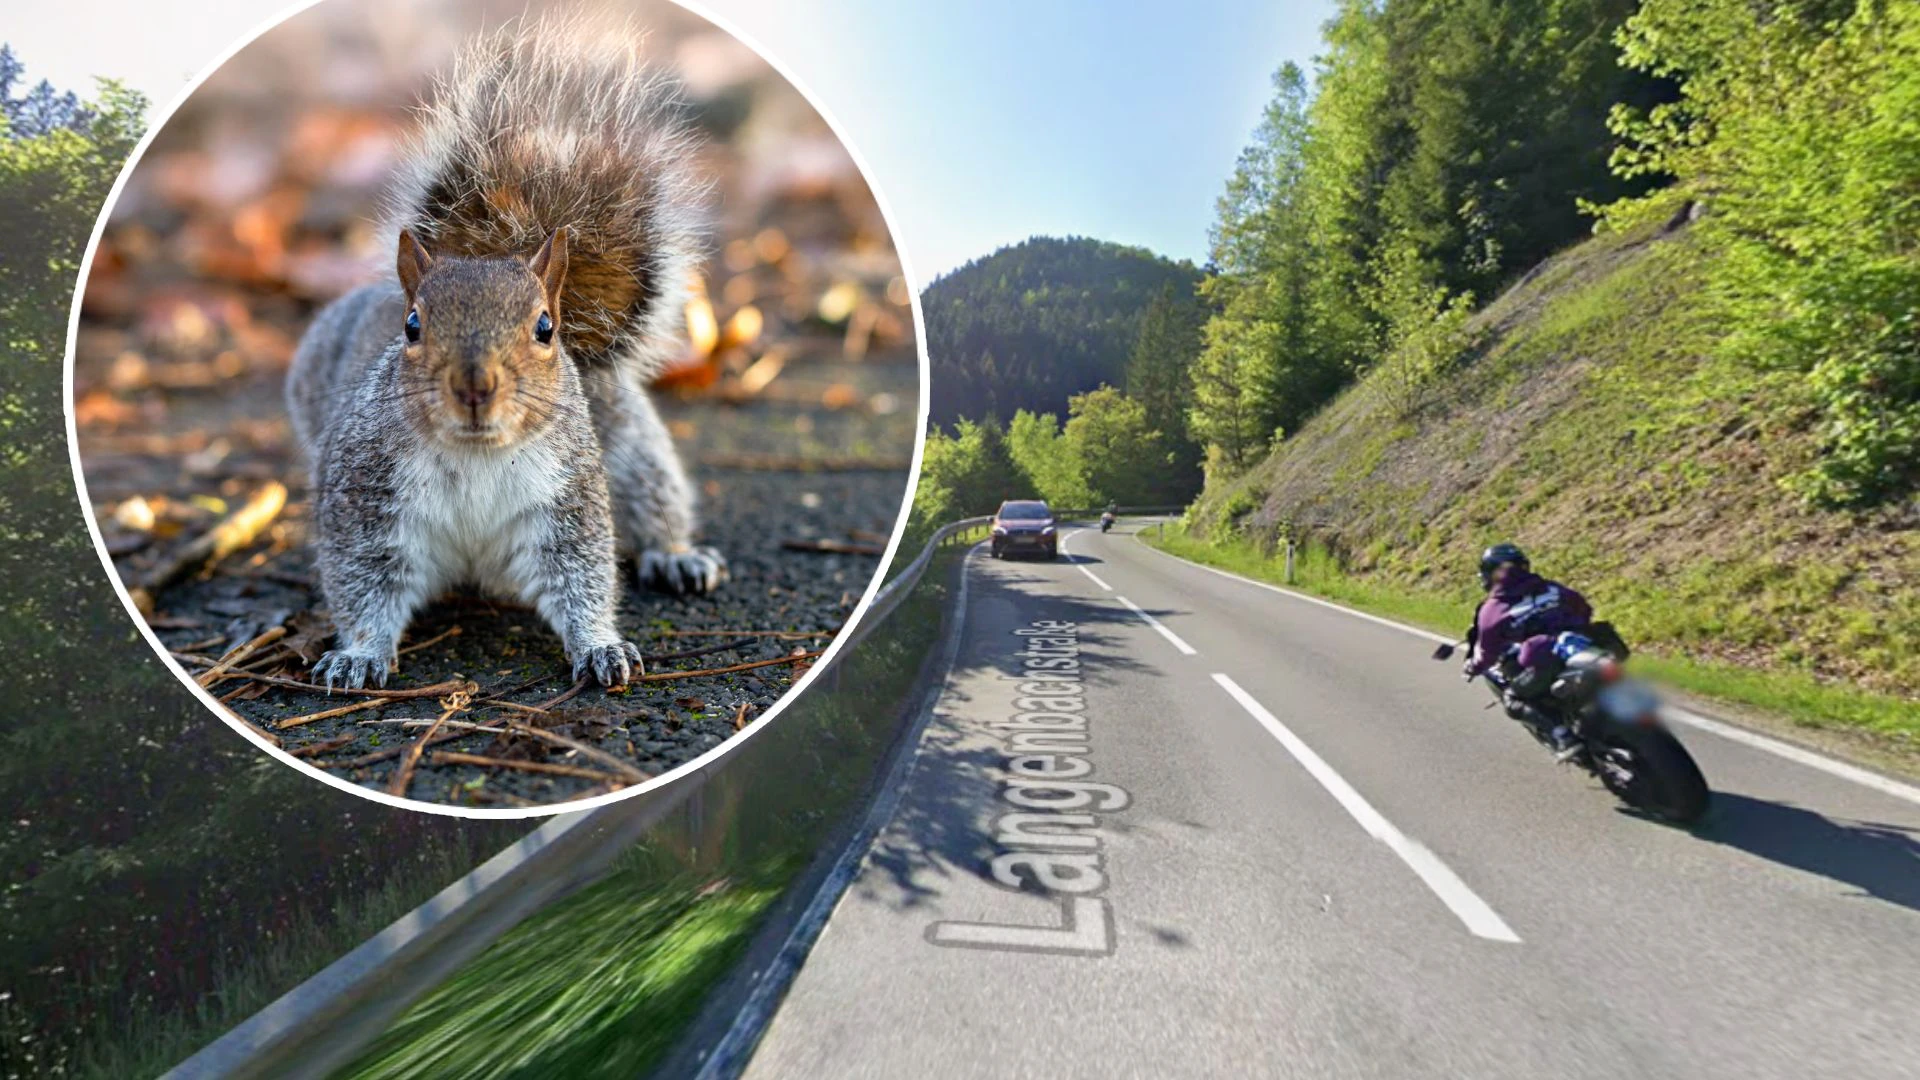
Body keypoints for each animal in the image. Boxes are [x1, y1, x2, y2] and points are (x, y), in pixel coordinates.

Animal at [286, 22, 726, 690]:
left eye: (545, 328)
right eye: (411, 326)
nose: (474, 387)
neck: (476, 455)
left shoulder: (569, 499)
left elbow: (581, 575)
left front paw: (601, 646)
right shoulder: (365, 500)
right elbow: (363, 582)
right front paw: (357, 655)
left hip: (628, 446)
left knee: (656, 498)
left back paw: (675, 556)